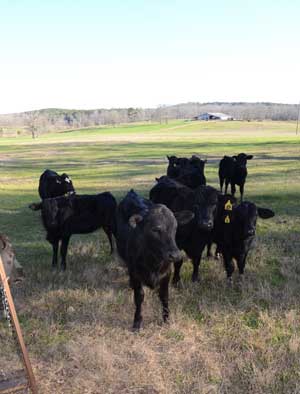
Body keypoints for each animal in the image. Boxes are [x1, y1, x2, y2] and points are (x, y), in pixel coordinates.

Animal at [113, 190, 193, 330]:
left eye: (175, 228)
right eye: (155, 229)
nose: (175, 255)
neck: (153, 261)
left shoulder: (167, 273)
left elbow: (164, 296)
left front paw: (166, 319)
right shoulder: (135, 273)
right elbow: (139, 297)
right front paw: (137, 322)